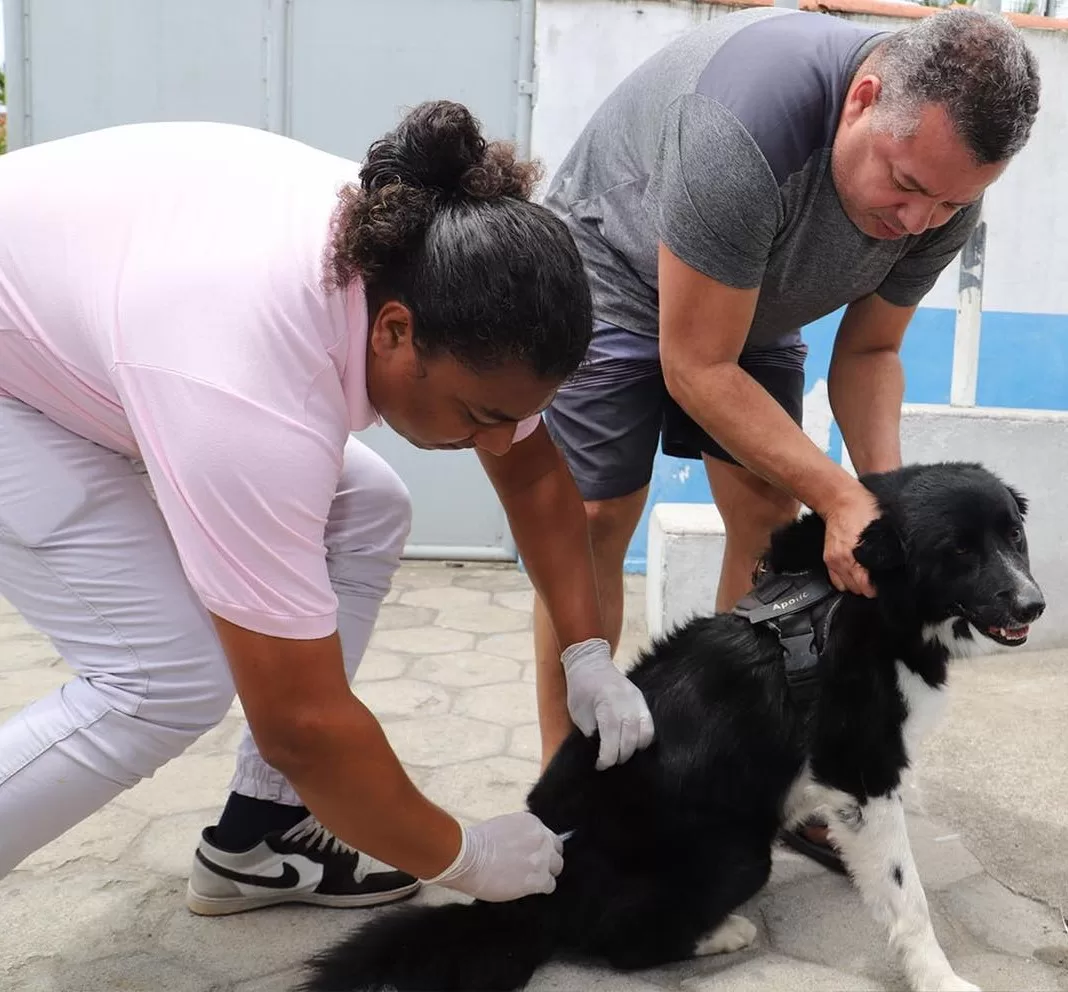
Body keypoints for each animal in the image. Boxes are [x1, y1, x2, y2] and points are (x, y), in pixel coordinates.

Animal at [301, 463, 1042, 990]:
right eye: (957, 550)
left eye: (1013, 534)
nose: (1033, 604)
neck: (860, 596)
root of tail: (529, 903)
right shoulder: (862, 771)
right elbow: (908, 899)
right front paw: (940, 979)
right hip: (740, 850)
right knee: (621, 945)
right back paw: (722, 933)